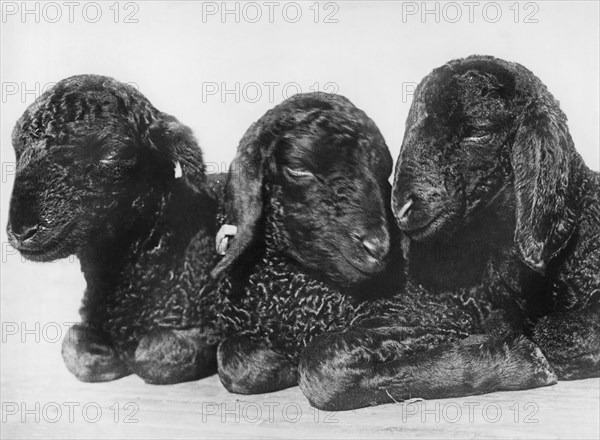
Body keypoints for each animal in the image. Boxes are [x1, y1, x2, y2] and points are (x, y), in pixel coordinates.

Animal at [6, 75, 225, 384]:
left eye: (111, 155)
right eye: (17, 150)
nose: (23, 229)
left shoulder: (208, 325)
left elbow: (152, 354)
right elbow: (73, 347)